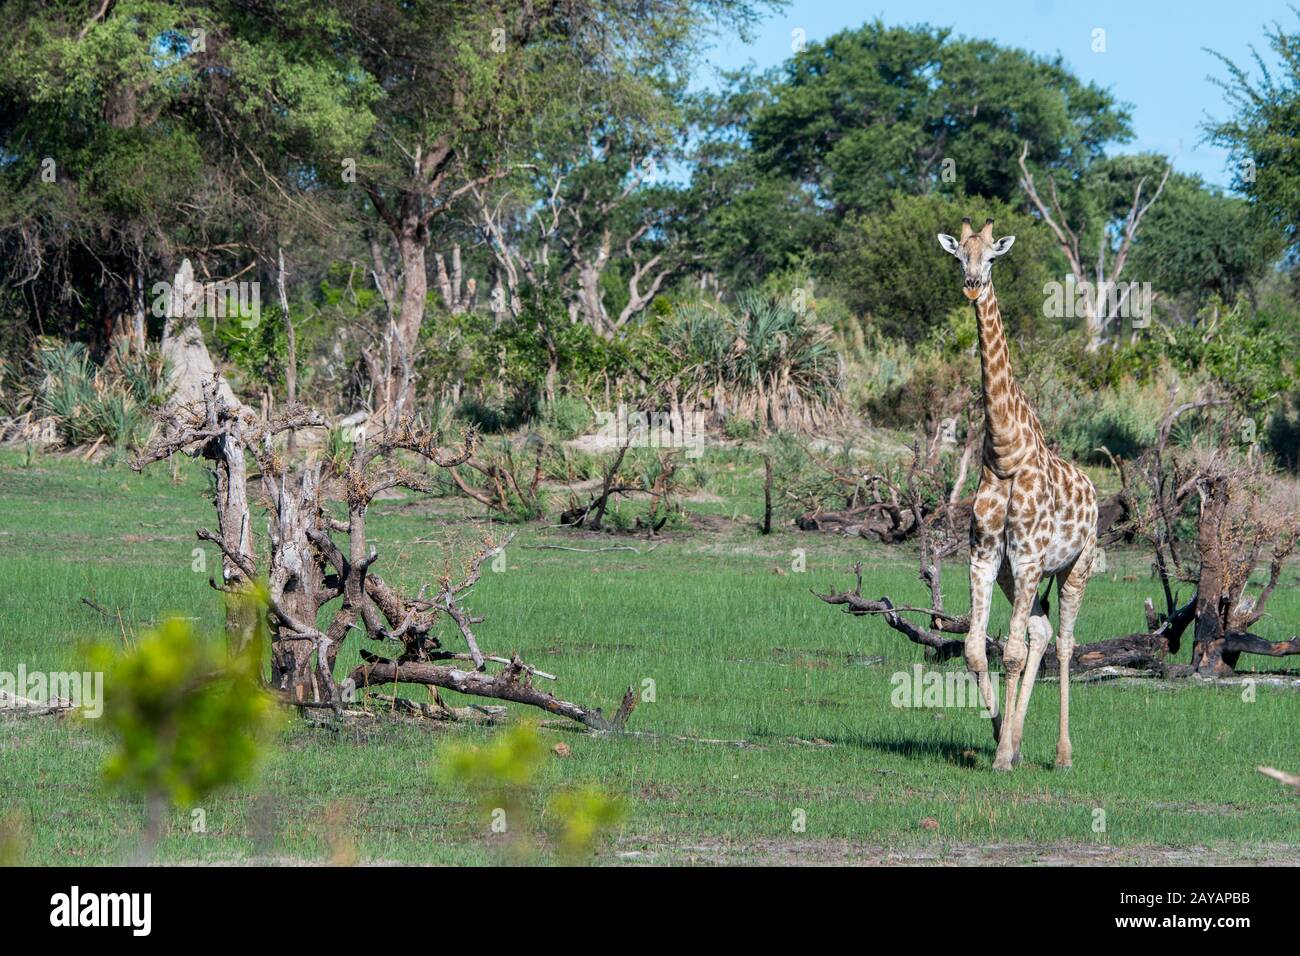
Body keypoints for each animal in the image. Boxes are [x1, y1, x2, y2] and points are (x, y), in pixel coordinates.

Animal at [936, 217, 1098, 771]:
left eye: (991, 258)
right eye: (958, 255)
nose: (970, 285)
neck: (1005, 452)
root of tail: (1098, 496)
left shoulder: (1029, 558)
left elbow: (1008, 651)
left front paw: (1004, 754)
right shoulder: (986, 556)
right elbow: (974, 648)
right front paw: (998, 735)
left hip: (1076, 566)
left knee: (1064, 642)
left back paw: (1063, 753)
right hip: (1016, 575)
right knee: (1039, 634)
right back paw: (1021, 738)